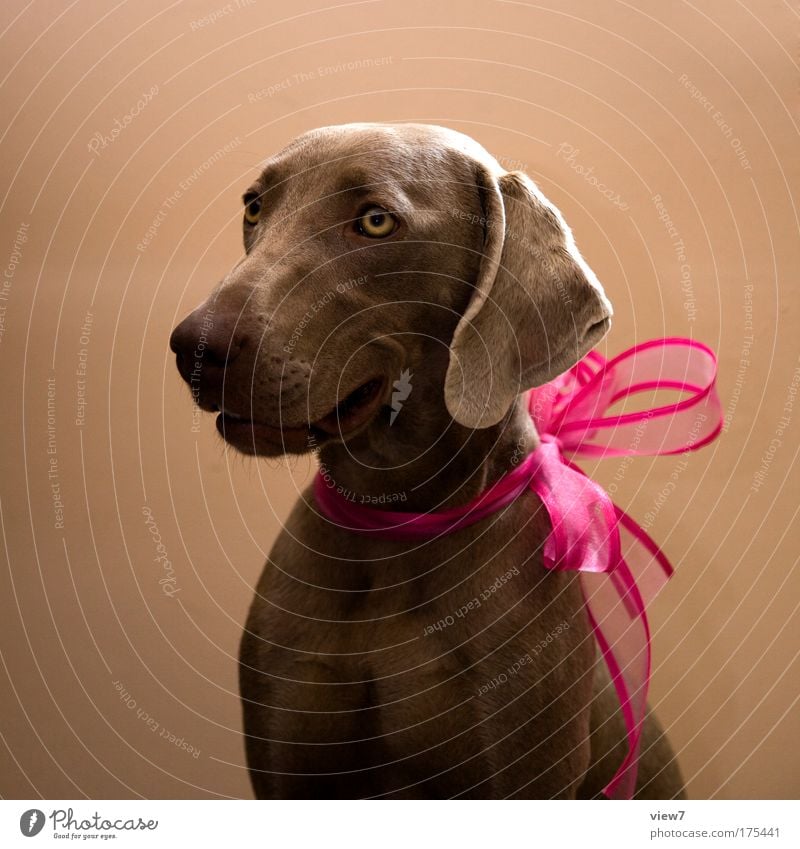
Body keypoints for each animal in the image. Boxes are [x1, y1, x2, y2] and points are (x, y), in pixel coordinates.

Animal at [170, 122, 688, 800]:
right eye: (254, 207)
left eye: (377, 222)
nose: (193, 348)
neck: (397, 522)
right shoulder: (287, 759)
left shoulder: (524, 768)